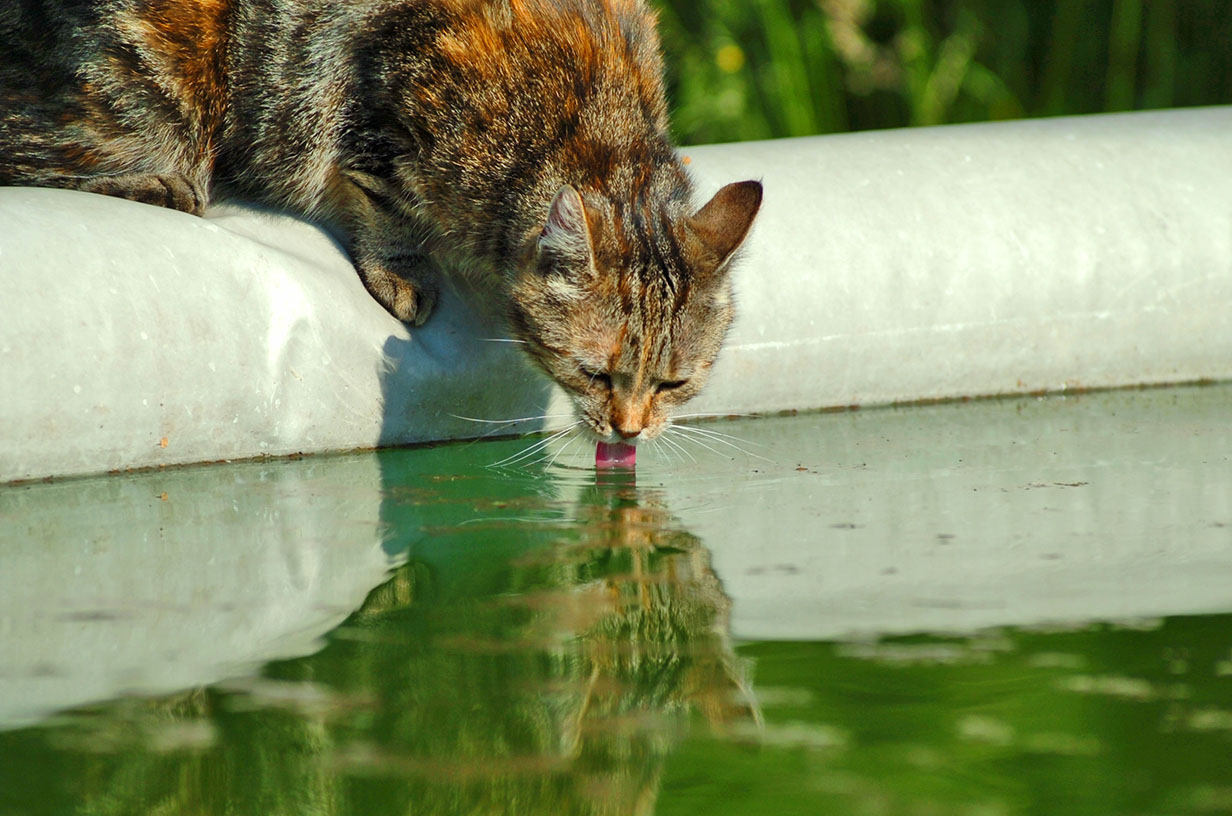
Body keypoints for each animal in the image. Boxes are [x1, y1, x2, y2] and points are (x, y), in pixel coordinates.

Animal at [0, 0, 763, 443]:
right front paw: (402, 269)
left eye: (673, 384)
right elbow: (387, 203)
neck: (591, 130)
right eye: (595, 373)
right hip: (154, 70)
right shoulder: (382, 107)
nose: (631, 432)